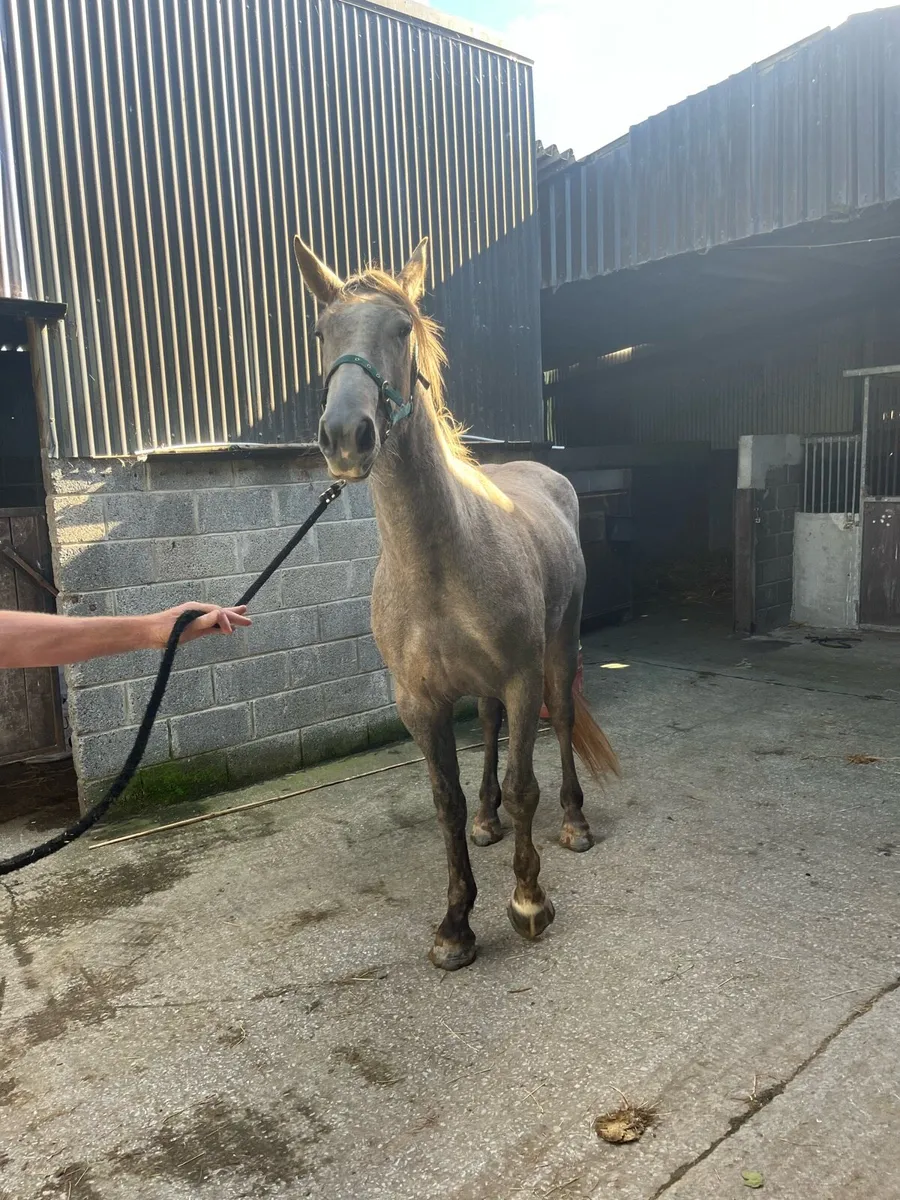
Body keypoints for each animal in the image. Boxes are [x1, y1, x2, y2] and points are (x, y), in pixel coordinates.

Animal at [293, 235, 619, 970]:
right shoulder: (419, 702)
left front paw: (528, 903)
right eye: (321, 333)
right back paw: (488, 818)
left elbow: (527, 782)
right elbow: (444, 801)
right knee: (491, 729)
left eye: (401, 328)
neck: (437, 564)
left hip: (559, 647)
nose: (346, 436)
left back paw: (574, 822)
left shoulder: (523, 679)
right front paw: (455, 924)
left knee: (557, 728)